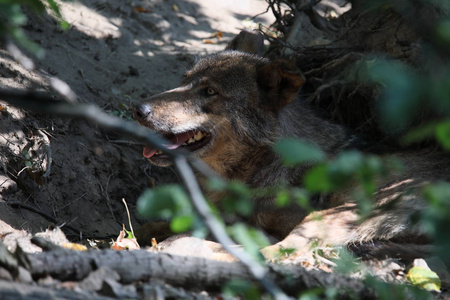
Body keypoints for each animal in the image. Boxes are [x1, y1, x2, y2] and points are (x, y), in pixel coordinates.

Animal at [133, 31, 450, 260]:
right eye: (183, 81)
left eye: (209, 91)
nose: (139, 109)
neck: (260, 166)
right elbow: (160, 223)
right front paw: (140, 230)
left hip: (337, 214)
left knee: (272, 253)